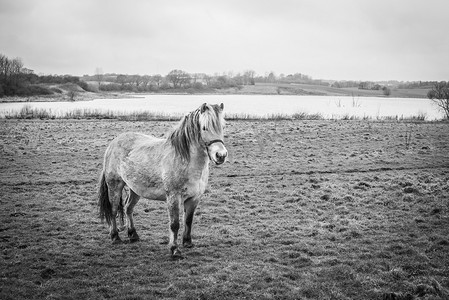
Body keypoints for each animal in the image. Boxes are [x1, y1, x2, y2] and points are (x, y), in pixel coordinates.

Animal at [96, 102, 226, 258]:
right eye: (205, 127)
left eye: (222, 126)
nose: (221, 155)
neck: (185, 161)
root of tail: (113, 143)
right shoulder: (173, 197)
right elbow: (175, 224)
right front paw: (174, 249)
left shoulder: (194, 198)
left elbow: (188, 220)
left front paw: (188, 243)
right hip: (115, 186)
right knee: (114, 210)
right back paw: (115, 237)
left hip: (135, 189)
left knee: (128, 208)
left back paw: (133, 235)